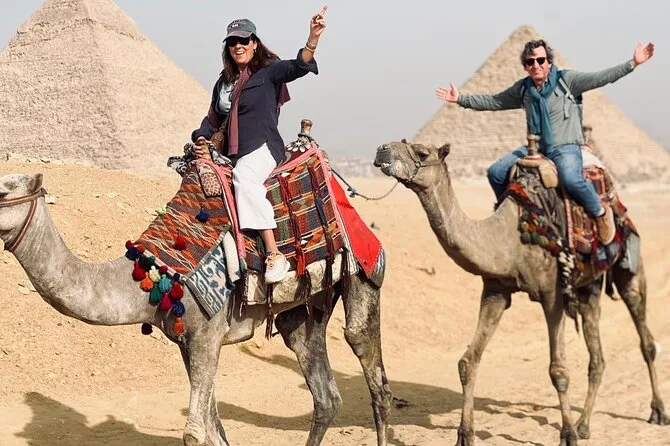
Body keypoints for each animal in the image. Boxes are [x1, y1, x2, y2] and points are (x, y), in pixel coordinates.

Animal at [0, 172, 392, 446]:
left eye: (4, 190)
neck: (150, 277)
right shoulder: (188, 341)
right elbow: (213, 428)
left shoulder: (207, 335)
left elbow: (195, 431)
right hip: (304, 311)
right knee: (325, 393)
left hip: (364, 272)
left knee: (371, 369)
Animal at [373, 140, 668, 446]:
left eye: (422, 153)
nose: (382, 150)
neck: (510, 238)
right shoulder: (496, 291)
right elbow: (468, 361)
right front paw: (465, 434)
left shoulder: (552, 295)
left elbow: (558, 370)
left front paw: (567, 434)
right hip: (589, 287)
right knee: (596, 354)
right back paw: (585, 423)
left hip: (629, 265)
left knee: (645, 338)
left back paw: (656, 411)